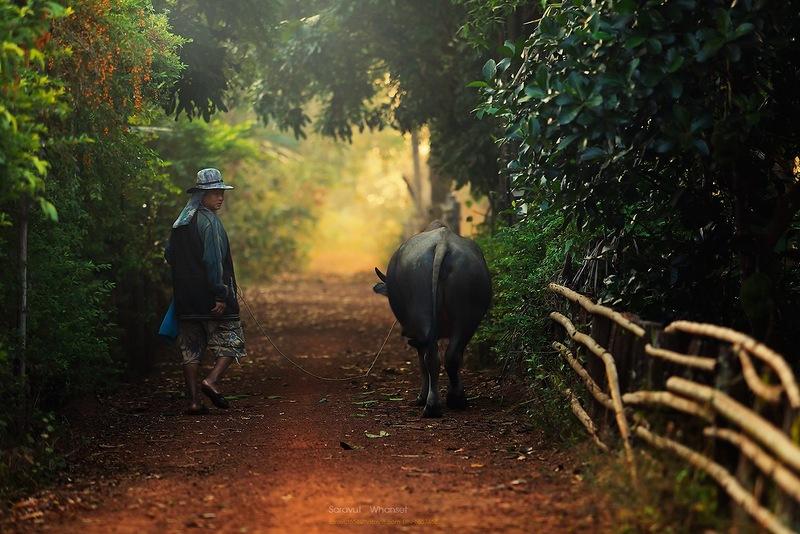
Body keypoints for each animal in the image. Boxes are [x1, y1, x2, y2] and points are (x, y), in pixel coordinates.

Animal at [372, 222, 490, 418]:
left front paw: (421, 396)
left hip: (421, 311)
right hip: (467, 314)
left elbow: (421, 362)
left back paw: (432, 404)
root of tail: (443, 244)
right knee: (452, 355)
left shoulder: (417, 336)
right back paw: (455, 399)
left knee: (431, 357)